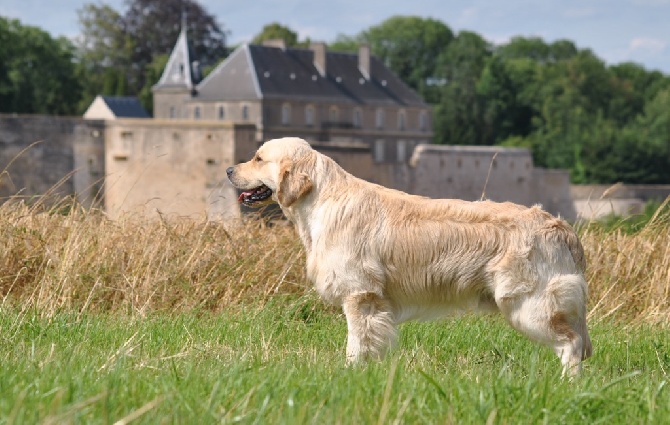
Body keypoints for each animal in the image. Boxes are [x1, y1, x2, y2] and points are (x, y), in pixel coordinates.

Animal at [230, 136, 592, 374]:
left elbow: (356, 345)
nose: (229, 170)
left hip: (529, 304)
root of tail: (561, 226)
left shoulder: (360, 295)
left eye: (258, 158)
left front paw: (350, 376)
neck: (323, 200)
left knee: (572, 344)